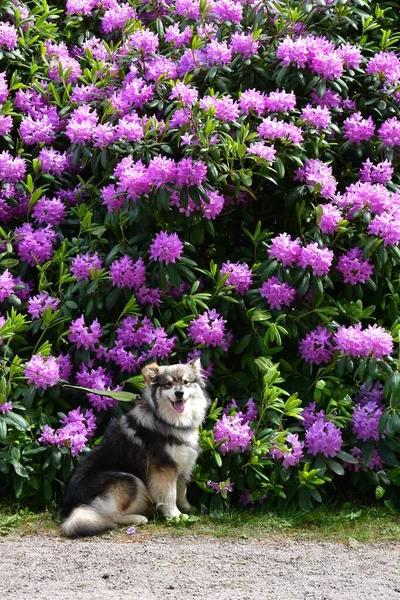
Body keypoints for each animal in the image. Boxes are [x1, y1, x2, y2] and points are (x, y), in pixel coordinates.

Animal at [61, 358, 209, 536]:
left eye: (186, 382)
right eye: (168, 384)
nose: (179, 393)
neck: (168, 420)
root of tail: (72, 507)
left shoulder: (181, 464)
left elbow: (181, 491)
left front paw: (188, 508)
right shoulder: (164, 468)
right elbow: (170, 495)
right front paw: (175, 515)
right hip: (128, 480)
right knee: (108, 517)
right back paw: (139, 518)